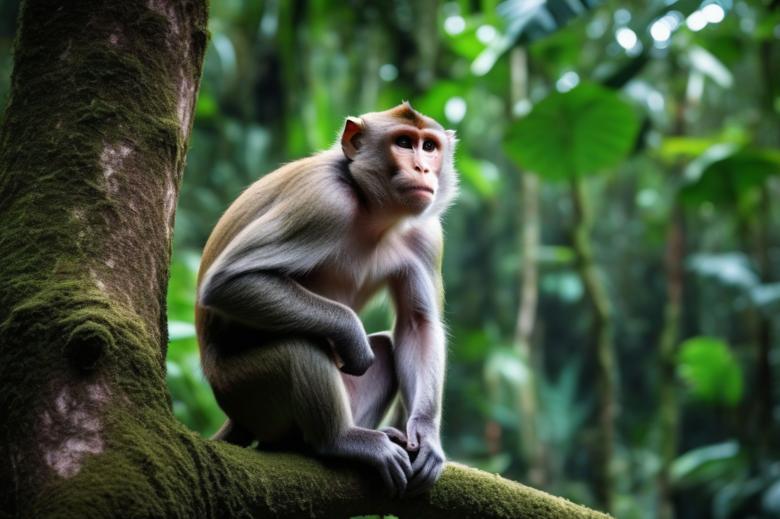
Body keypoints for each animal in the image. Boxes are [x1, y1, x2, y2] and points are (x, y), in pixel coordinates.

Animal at [195, 102, 457, 498]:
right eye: (404, 143)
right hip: (242, 389)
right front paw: (351, 335)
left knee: (384, 348)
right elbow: (231, 281)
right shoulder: (325, 203)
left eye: (429, 147)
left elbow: (419, 324)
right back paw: (340, 440)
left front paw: (426, 435)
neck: (371, 209)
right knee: (300, 345)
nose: (423, 169)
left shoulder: (425, 234)